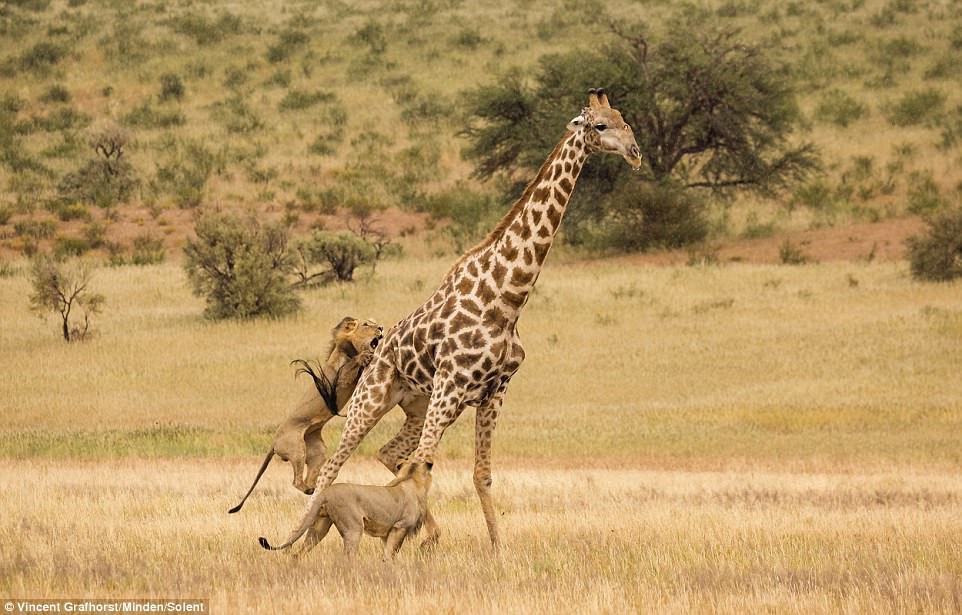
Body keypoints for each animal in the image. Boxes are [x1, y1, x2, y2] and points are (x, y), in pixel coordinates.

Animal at [228, 317, 383, 514]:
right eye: (366, 324)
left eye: (375, 322)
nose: (381, 328)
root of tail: (274, 442)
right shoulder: (341, 378)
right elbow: (352, 364)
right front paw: (363, 357)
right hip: (297, 449)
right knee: (295, 481)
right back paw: (310, 489)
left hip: (317, 450)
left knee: (310, 477)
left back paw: (315, 488)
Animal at [259, 461, 433, 560]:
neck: (412, 480)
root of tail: (326, 492)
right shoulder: (400, 526)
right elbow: (390, 553)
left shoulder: (388, 532)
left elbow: (389, 552)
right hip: (354, 528)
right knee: (347, 557)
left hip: (319, 527)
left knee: (298, 554)